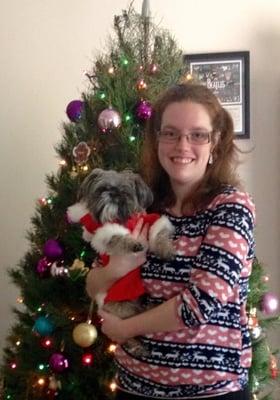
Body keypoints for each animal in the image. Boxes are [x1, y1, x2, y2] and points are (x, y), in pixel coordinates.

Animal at [67, 167, 175, 354]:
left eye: (125, 192)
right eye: (102, 189)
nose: (113, 193)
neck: (119, 218)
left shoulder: (150, 221)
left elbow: (159, 233)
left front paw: (165, 249)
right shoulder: (104, 233)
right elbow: (118, 237)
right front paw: (132, 243)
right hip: (121, 308)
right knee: (128, 330)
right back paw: (136, 345)